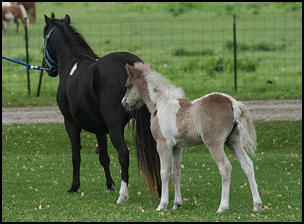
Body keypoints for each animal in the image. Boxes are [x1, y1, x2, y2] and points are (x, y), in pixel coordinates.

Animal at [42, 13, 162, 203]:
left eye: (44, 36)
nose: (48, 69)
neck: (72, 63)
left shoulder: (70, 123)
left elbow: (76, 155)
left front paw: (74, 186)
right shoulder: (99, 128)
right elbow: (103, 157)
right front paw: (109, 185)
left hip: (114, 127)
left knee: (123, 154)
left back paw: (123, 195)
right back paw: (161, 192)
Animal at [121, 62, 262, 213]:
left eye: (128, 85)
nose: (124, 102)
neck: (160, 104)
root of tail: (232, 103)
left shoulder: (163, 144)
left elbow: (164, 173)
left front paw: (162, 205)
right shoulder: (176, 147)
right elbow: (176, 173)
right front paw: (177, 204)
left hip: (214, 143)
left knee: (225, 167)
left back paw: (222, 207)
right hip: (233, 141)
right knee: (247, 164)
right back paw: (257, 205)